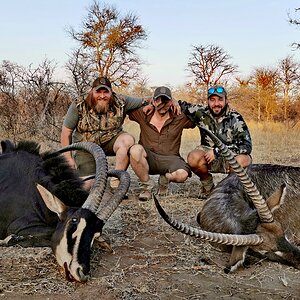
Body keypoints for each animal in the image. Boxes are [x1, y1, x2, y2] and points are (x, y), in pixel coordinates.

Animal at [0, 140, 130, 282]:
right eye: (74, 221)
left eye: (95, 236)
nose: (81, 272)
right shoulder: (19, 226)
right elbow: (49, 232)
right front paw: (9, 240)